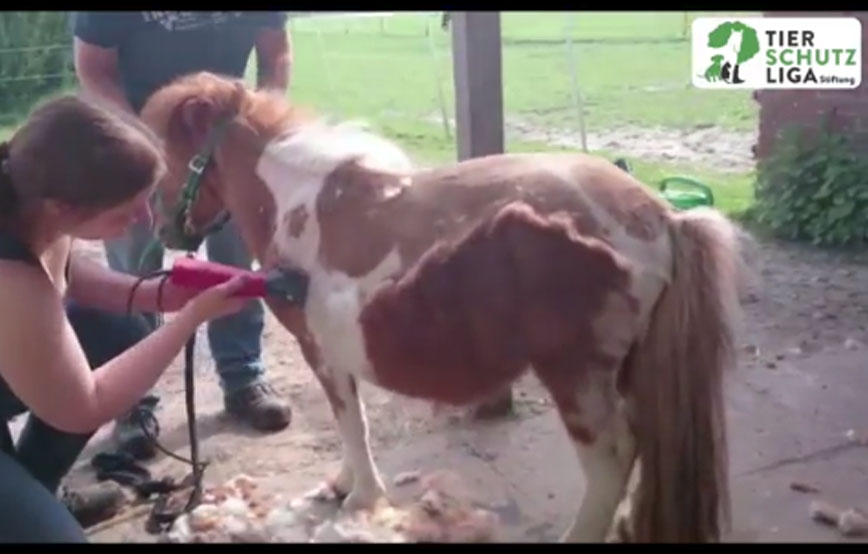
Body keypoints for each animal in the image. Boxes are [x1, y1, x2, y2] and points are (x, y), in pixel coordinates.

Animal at [138, 71, 746, 543]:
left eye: (168, 158)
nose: (161, 229)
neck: (299, 206)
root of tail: (660, 216)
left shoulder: (322, 351)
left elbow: (351, 422)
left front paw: (360, 497)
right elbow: (349, 420)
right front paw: (342, 484)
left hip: (576, 376)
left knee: (613, 457)